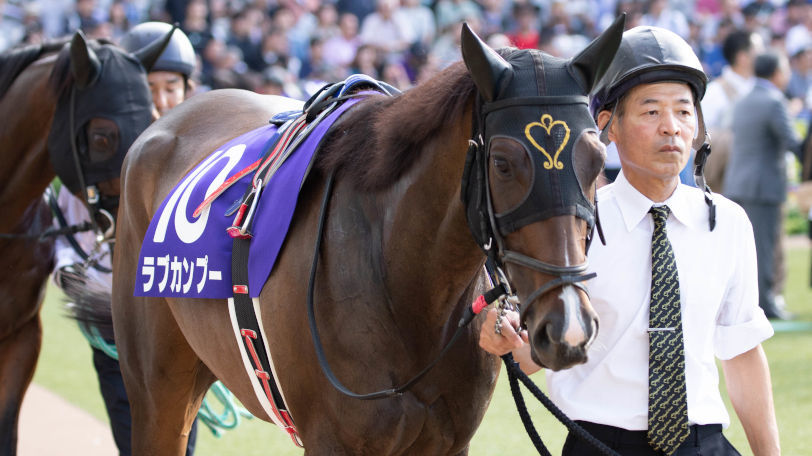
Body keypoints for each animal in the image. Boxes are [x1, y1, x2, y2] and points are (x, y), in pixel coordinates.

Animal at [112, 18, 624, 455]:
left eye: (598, 161)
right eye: (502, 162)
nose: (568, 326)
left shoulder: (446, 442)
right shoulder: (332, 440)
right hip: (157, 391)